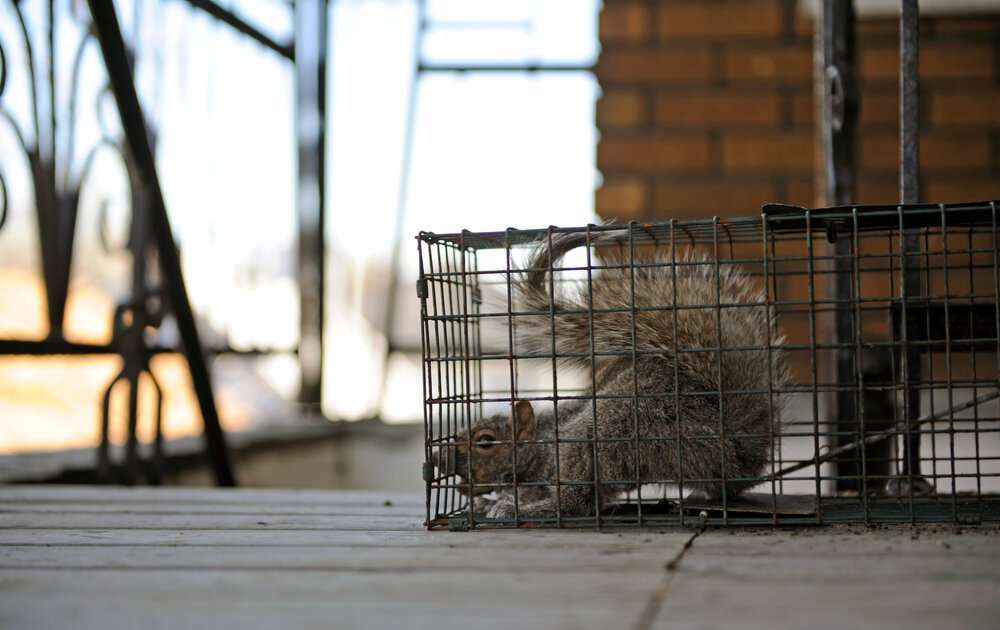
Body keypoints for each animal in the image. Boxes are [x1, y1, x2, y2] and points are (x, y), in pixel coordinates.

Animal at [445, 230, 790, 520]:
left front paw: (507, 502)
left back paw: (524, 511)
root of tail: (731, 446)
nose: (443, 457)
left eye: (486, 441)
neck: (539, 441)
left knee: (576, 501)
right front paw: (487, 501)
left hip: (611, 426)